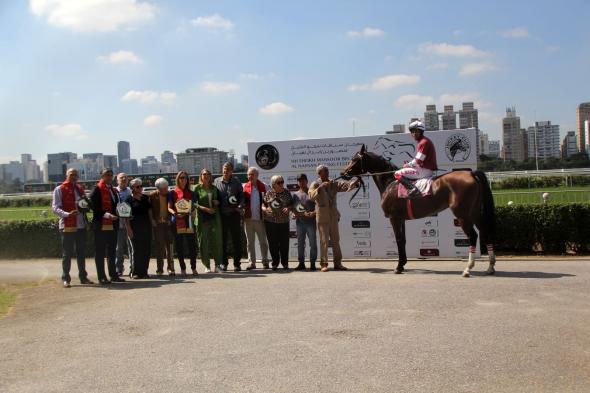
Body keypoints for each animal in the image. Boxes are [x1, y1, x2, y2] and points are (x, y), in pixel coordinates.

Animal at [342, 144, 500, 276]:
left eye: (354, 159)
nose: (344, 173)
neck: (390, 183)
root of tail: (471, 174)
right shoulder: (401, 219)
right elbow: (403, 240)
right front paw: (403, 264)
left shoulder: (394, 218)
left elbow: (398, 240)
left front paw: (398, 267)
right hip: (475, 213)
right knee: (487, 233)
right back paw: (490, 267)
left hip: (462, 215)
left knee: (473, 236)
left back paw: (468, 268)